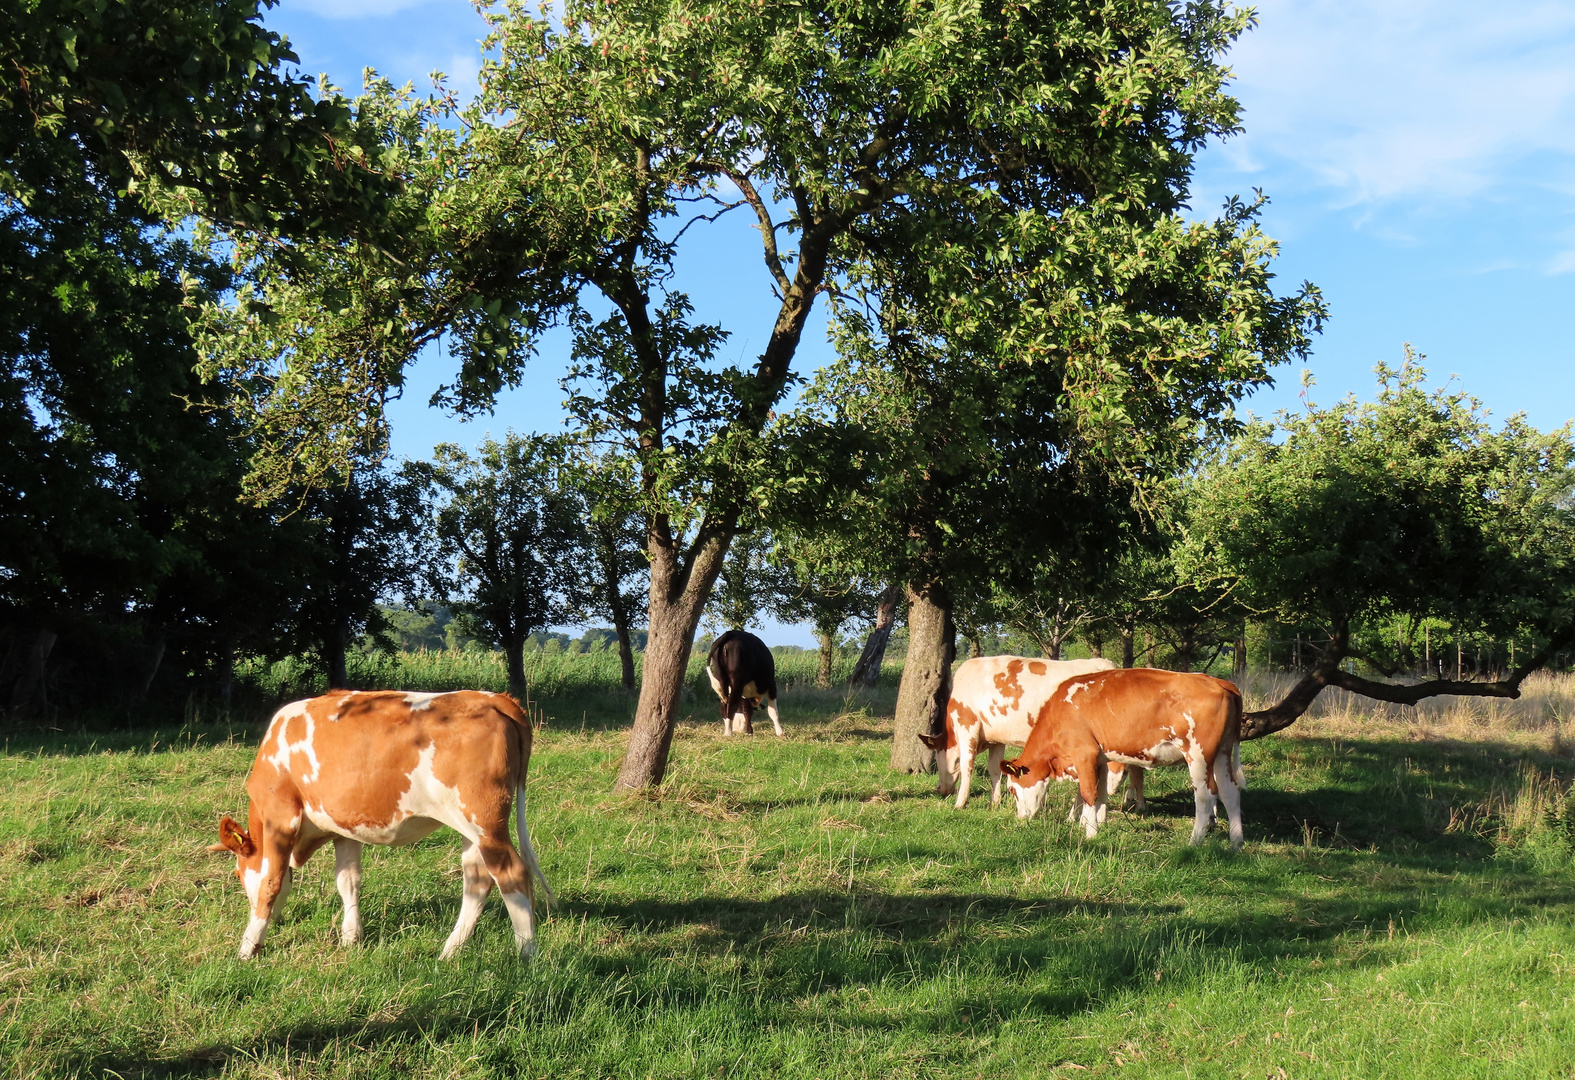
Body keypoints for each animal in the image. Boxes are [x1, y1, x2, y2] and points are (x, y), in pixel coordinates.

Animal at [209, 689, 554, 963]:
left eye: (238, 873)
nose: (280, 922)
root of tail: (492, 698)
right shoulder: (344, 827)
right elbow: (347, 880)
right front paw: (351, 937)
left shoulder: (280, 817)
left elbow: (271, 883)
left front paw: (249, 946)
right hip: (471, 829)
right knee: (477, 879)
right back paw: (450, 951)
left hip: (485, 823)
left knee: (512, 873)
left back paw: (527, 953)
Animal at [913, 654, 1121, 806]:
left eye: (937, 756)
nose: (940, 789)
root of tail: (1103, 663)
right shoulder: (995, 739)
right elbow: (994, 769)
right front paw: (995, 802)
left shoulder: (967, 726)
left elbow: (967, 765)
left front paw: (960, 803)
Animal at [1001, 667, 1247, 856]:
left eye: (1012, 789)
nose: (1021, 819)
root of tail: (1218, 681)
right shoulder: (1099, 759)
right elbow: (1099, 794)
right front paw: (1096, 824)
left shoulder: (1084, 754)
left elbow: (1088, 793)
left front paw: (1090, 834)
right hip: (1222, 752)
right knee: (1230, 792)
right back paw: (1236, 842)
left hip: (1198, 754)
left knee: (1205, 795)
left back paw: (1194, 841)